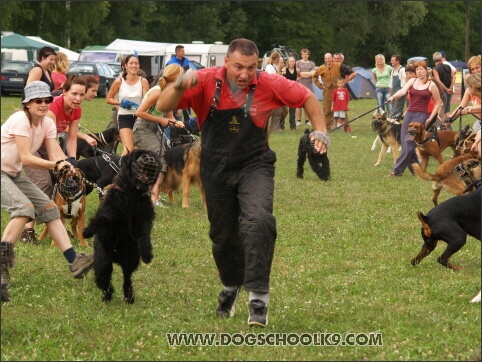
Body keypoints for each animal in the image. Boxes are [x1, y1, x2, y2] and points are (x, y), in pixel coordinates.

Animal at [84, 148, 161, 304]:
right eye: (139, 156)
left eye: (154, 157)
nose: (150, 160)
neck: (133, 192)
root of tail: (116, 258)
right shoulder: (110, 210)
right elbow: (101, 219)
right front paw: (87, 231)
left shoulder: (144, 218)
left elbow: (145, 235)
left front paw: (147, 254)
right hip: (103, 261)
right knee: (104, 281)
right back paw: (107, 298)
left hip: (130, 260)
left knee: (126, 280)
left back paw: (128, 298)